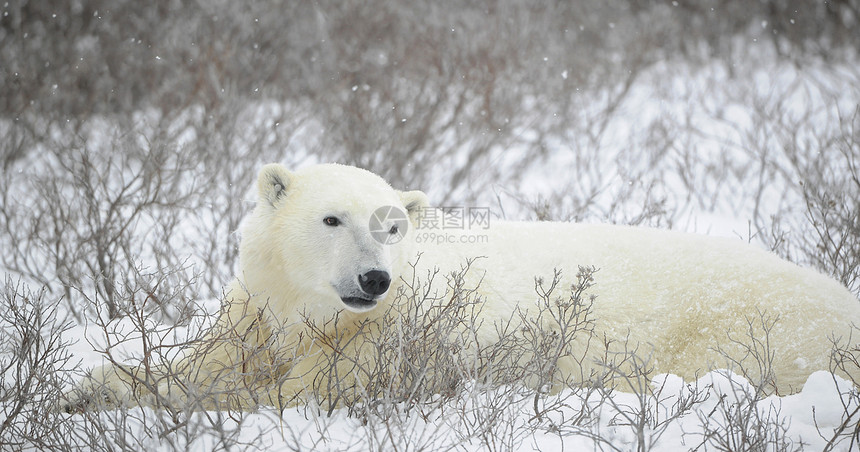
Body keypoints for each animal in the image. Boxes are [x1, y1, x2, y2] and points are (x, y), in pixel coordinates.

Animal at [67, 163, 860, 414]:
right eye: (332, 218)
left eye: (391, 226)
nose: (374, 278)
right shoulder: (257, 313)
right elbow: (207, 360)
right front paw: (87, 388)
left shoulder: (395, 338)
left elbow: (303, 392)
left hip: (746, 329)